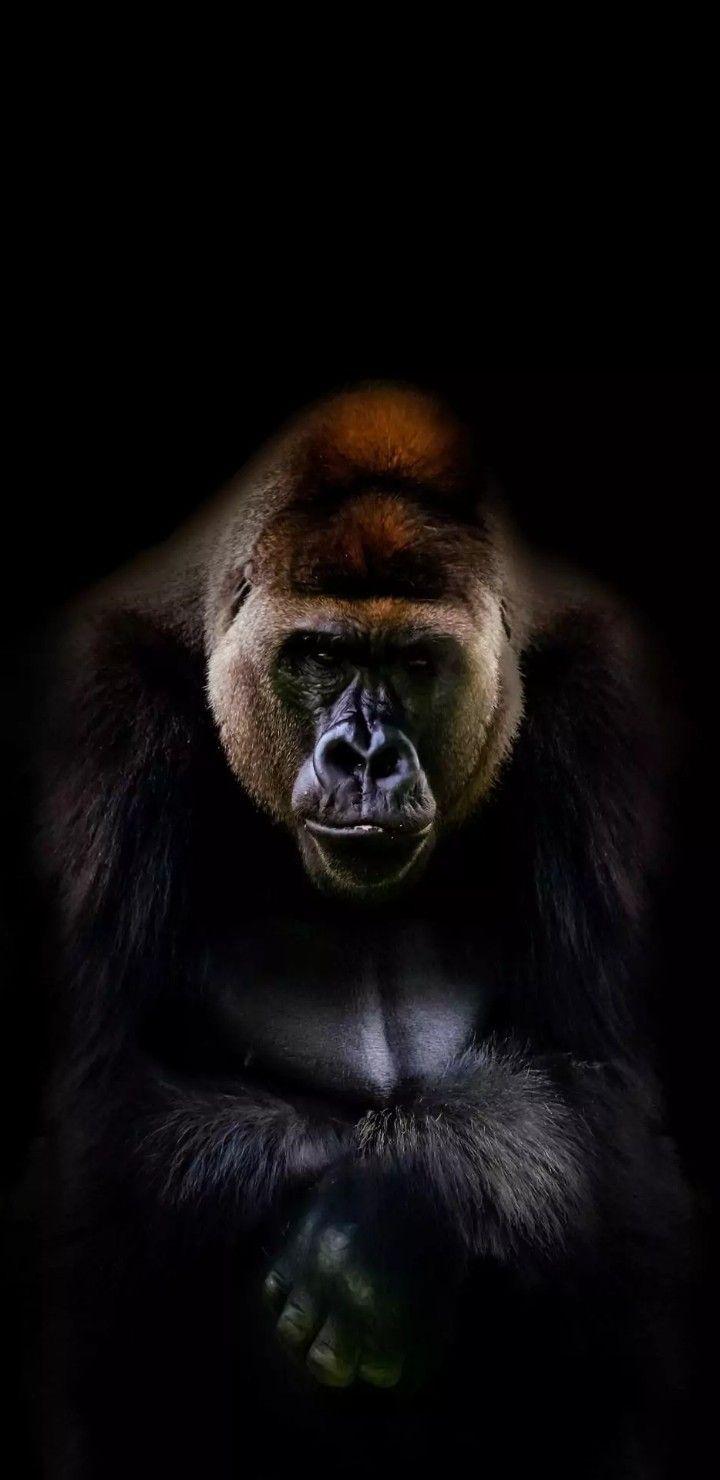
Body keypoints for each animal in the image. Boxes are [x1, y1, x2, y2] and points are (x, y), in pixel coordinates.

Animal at [38, 385, 695, 1478]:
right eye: (322, 655)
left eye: (416, 662)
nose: (367, 755)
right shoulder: (100, 712)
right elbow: (98, 1120)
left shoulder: (599, 704)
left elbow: (604, 1103)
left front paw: (389, 1217)